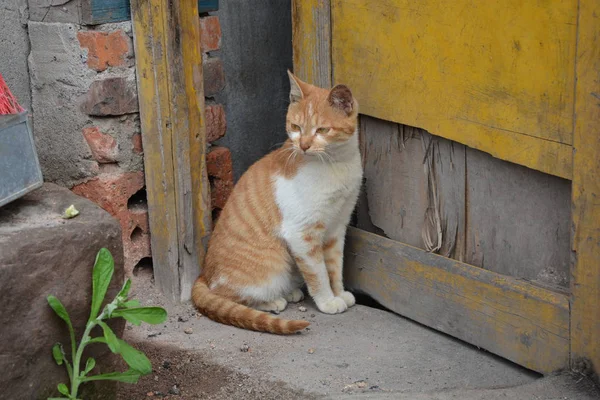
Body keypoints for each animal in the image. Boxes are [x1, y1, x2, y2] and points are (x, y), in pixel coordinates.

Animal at [192, 72, 360, 334]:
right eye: (296, 127)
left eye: (322, 129)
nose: (303, 145)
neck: (336, 163)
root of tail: (204, 274)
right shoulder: (303, 234)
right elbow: (319, 273)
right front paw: (327, 301)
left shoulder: (337, 227)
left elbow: (335, 267)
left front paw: (339, 293)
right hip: (272, 266)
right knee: (227, 296)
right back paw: (272, 301)